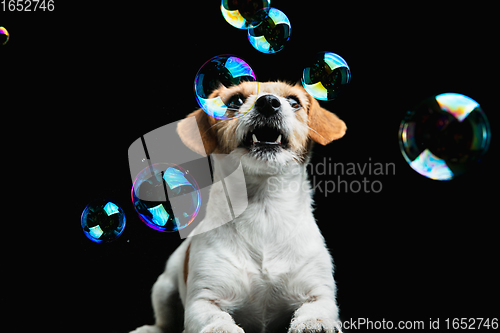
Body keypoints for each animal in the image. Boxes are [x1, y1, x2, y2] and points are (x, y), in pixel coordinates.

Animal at [131, 80, 346, 332]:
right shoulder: (203, 300)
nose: (268, 102)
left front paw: (314, 322)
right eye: (235, 100)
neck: (263, 211)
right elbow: (213, 317)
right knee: (164, 320)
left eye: (294, 102)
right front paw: (221, 328)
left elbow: (317, 308)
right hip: (163, 287)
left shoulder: (319, 293)